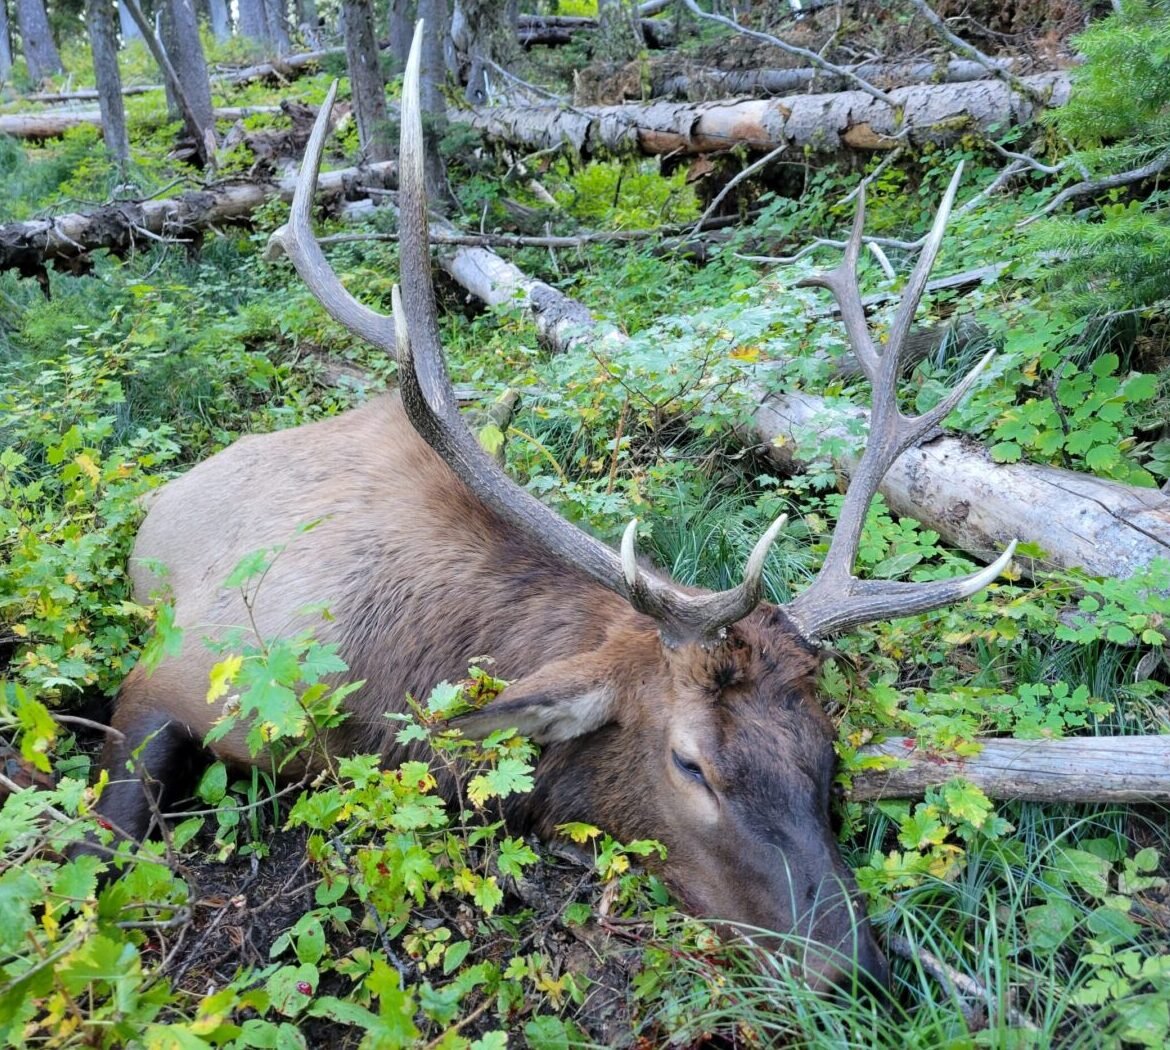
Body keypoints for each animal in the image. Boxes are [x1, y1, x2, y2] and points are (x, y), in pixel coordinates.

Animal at [91, 23, 1014, 994]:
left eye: (824, 750)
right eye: (690, 762)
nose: (855, 969)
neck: (381, 694)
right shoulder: (179, 668)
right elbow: (105, 838)